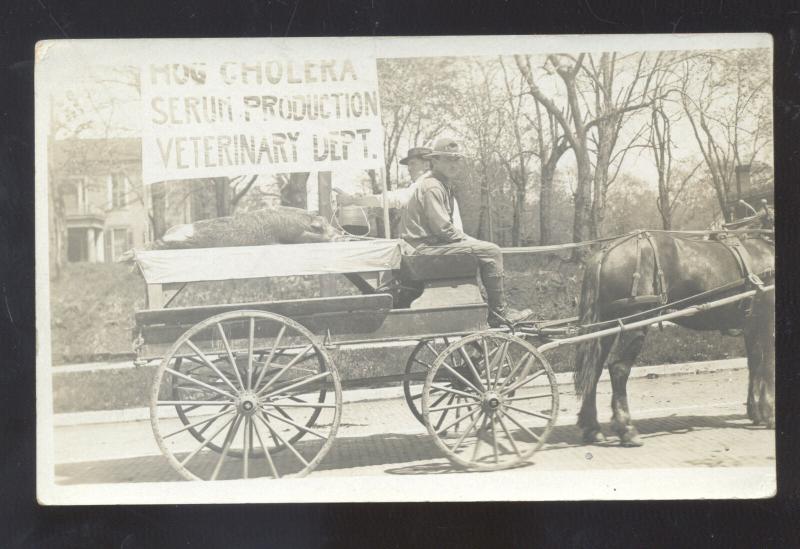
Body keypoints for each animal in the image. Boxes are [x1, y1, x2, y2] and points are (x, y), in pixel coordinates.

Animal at [576, 218, 776, 446]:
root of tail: (606, 252)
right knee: (618, 369)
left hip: (606, 326)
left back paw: (592, 428)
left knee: (594, 370)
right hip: (635, 321)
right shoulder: (767, 321)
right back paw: (627, 428)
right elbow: (768, 366)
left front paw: (756, 412)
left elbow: (755, 365)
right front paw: (770, 414)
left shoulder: (752, 326)